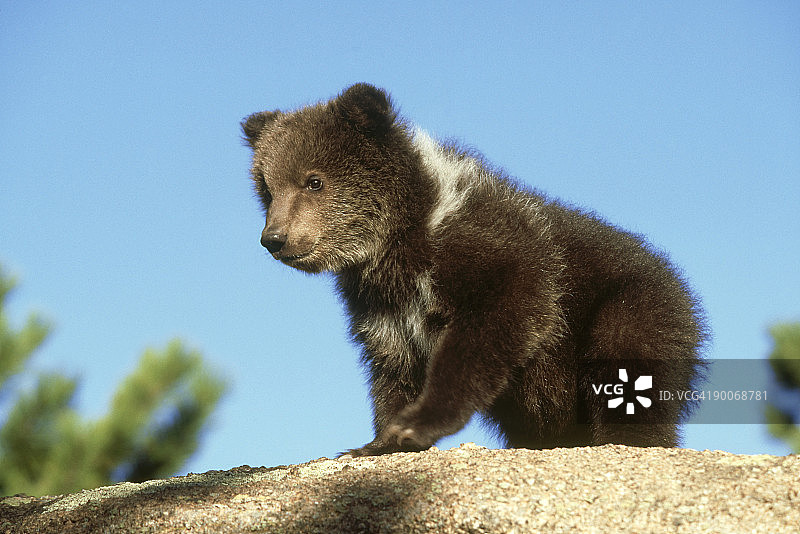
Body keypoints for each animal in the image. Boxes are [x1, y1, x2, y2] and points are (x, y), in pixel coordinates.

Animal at [242, 83, 707, 457]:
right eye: (267, 188)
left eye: (313, 180)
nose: (274, 238)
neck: (402, 242)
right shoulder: (381, 308)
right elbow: (392, 369)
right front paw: (377, 440)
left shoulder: (498, 261)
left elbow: (488, 334)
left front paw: (413, 426)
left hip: (626, 307)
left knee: (627, 365)